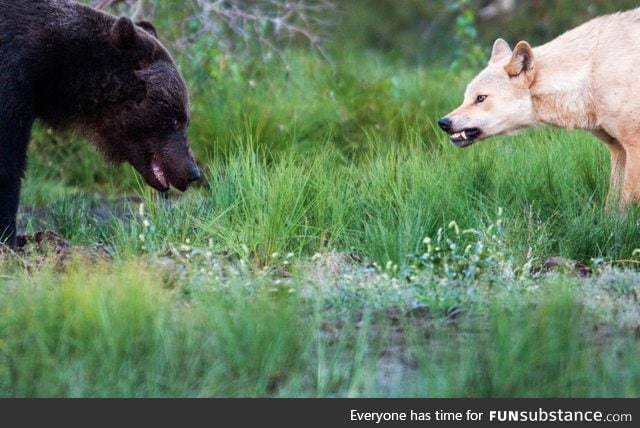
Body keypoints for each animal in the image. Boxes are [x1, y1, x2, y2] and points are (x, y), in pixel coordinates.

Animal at [0, 0, 200, 247]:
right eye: (176, 118)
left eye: (184, 118)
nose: (193, 172)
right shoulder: (13, 79)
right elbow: (9, 164)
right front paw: (9, 238)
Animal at [440, 9, 640, 210]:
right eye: (466, 98)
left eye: (480, 98)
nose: (443, 122)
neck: (590, 74)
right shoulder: (617, 150)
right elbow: (611, 207)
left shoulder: (633, 147)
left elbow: (625, 205)